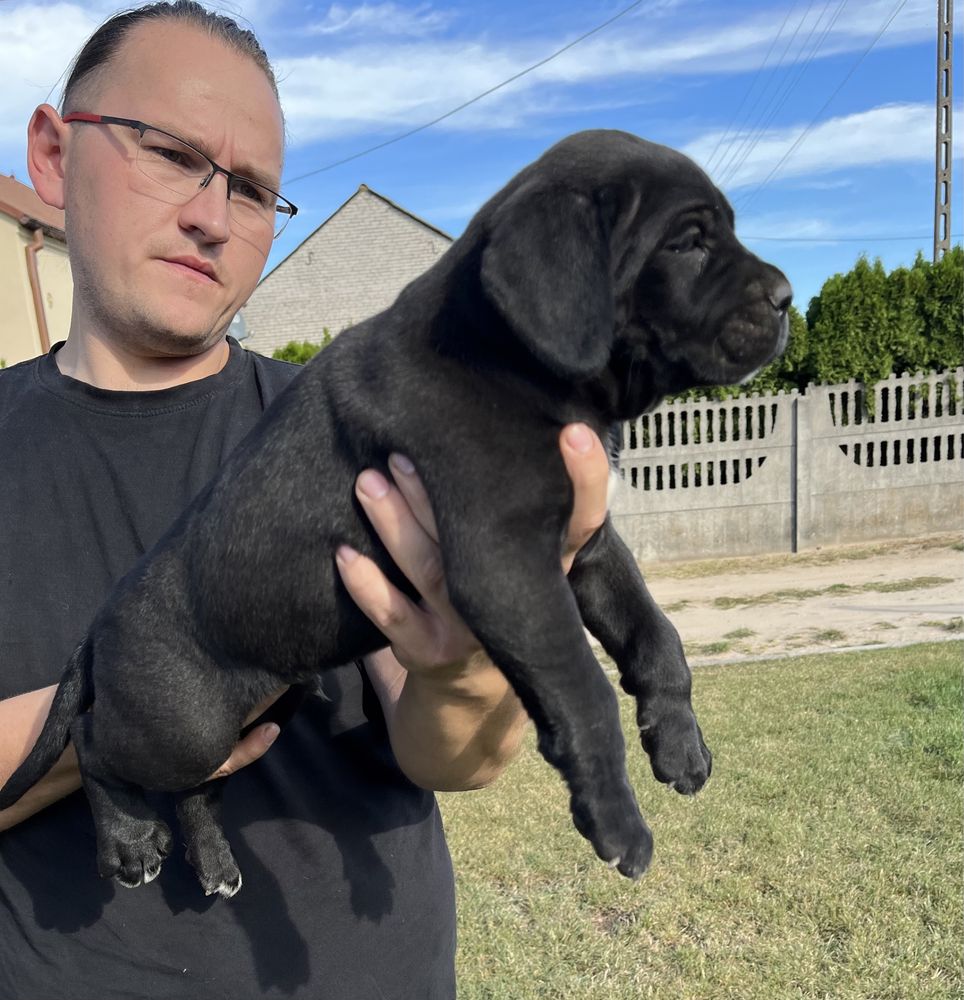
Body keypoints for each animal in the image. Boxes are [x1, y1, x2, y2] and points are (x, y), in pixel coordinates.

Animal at [0, 131, 792, 900]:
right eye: (687, 243)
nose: (787, 296)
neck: (507, 354)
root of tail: (96, 631)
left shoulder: (587, 545)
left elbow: (658, 636)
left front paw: (680, 743)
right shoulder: (505, 562)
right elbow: (584, 690)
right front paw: (618, 821)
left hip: (261, 703)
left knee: (195, 786)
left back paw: (215, 861)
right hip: (181, 722)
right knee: (93, 742)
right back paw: (128, 840)